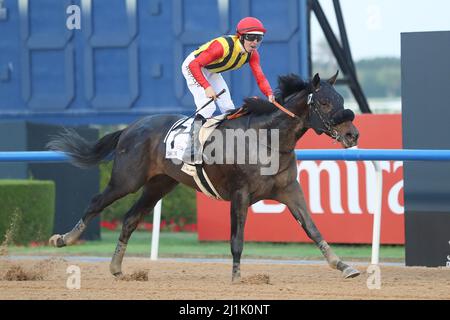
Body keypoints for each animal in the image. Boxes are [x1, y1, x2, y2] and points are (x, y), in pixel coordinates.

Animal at [47, 72, 360, 280]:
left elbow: (312, 228)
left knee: (130, 219)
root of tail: (129, 128)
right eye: (324, 103)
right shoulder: (240, 193)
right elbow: (237, 239)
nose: (353, 135)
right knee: (96, 202)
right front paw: (236, 278)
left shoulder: (289, 190)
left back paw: (116, 267)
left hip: (160, 184)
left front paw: (344, 265)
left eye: (340, 98)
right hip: (127, 180)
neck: (266, 139)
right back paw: (65, 239)